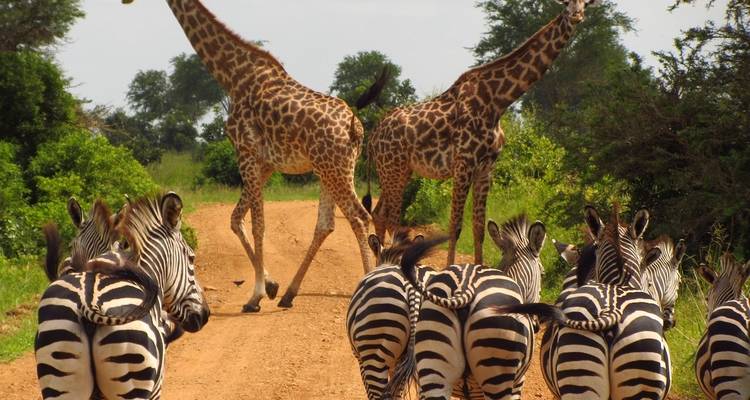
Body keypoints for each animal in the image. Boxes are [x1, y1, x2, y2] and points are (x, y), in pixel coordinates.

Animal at [123, 0, 387, 312]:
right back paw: (289, 294)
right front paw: (271, 286)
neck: (234, 77)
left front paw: (256, 296)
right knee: (326, 225)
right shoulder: (265, 164)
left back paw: (366, 283)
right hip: (329, 169)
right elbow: (236, 218)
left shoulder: (246, 152)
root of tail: (355, 126)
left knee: (359, 217)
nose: (127, 3)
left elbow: (257, 224)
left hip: (335, 169)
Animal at [365, 0, 596, 266]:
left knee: (379, 213)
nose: (577, 15)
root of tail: (373, 136)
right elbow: (455, 226)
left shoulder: (486, 168)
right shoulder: (463, 164)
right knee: (391, 217)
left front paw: (479, 267)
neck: (497, 102)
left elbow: (478, 226)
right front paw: (450, 268)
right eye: (566, 4)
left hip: (399, 171)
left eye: (584, 3)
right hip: (393, 168)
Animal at [391, 215, 547, 399]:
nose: (537, 325)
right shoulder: (518, 384)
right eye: (543, 274)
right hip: (497, 368)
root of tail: (466, 287)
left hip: (433, 366)